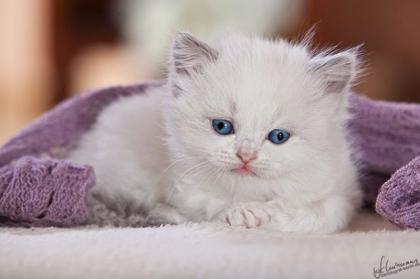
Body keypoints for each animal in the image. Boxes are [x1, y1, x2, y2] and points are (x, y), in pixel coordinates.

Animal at [68, 31, 360, 234]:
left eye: (279, 137)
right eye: (222, 127)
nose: (246, 155)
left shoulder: (341, 195)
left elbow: (310, 214)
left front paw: (263, 212)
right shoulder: (184, 187)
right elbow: (208, 206)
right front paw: (241, 213)